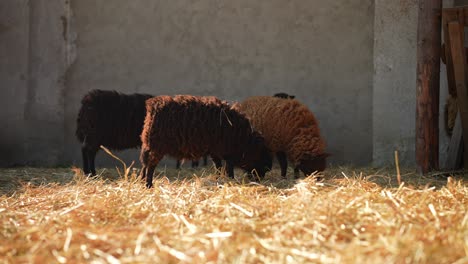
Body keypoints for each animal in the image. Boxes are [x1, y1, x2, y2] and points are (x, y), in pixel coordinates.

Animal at [138, 95, 274, 188]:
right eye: (262, 157)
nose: (259, 179)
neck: (245, 140)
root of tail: (152, 105)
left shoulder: (215, 151)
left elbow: (219, 166)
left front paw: (219, 179)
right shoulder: (228, 153)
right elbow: (228, 168)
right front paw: (230, 180)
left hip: (148, 145)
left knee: (145, 164)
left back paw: (142, 181)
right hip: (157, 147)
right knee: (150, 166)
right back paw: (149, 185)